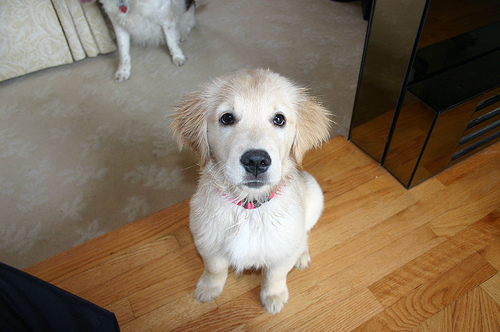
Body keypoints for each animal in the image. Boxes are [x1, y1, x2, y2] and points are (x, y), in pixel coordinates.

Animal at [172, 68, 332, 314]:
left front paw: (274, 296)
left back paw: (302, 254)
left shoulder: (281, 251)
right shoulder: (207, 241)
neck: (248, 208)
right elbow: (215, 269)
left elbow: (275, 275)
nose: (256, 161)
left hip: (314, 195)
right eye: (227, 118)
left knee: (303, 234)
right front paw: (208, 288)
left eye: (279, 119)